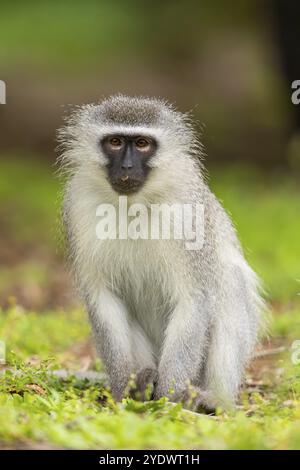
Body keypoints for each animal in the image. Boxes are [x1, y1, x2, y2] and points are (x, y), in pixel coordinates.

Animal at [57, 96, 264, 412]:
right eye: (115, 142)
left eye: (143, 144)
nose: (127, 165)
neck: (134, 205)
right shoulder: (79, 205)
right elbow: (103, 297)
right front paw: (122, 390)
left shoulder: (187, 213)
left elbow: (194, 299)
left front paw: (168, 398)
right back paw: (142, 383)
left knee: (229, 284)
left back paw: (212, 402)